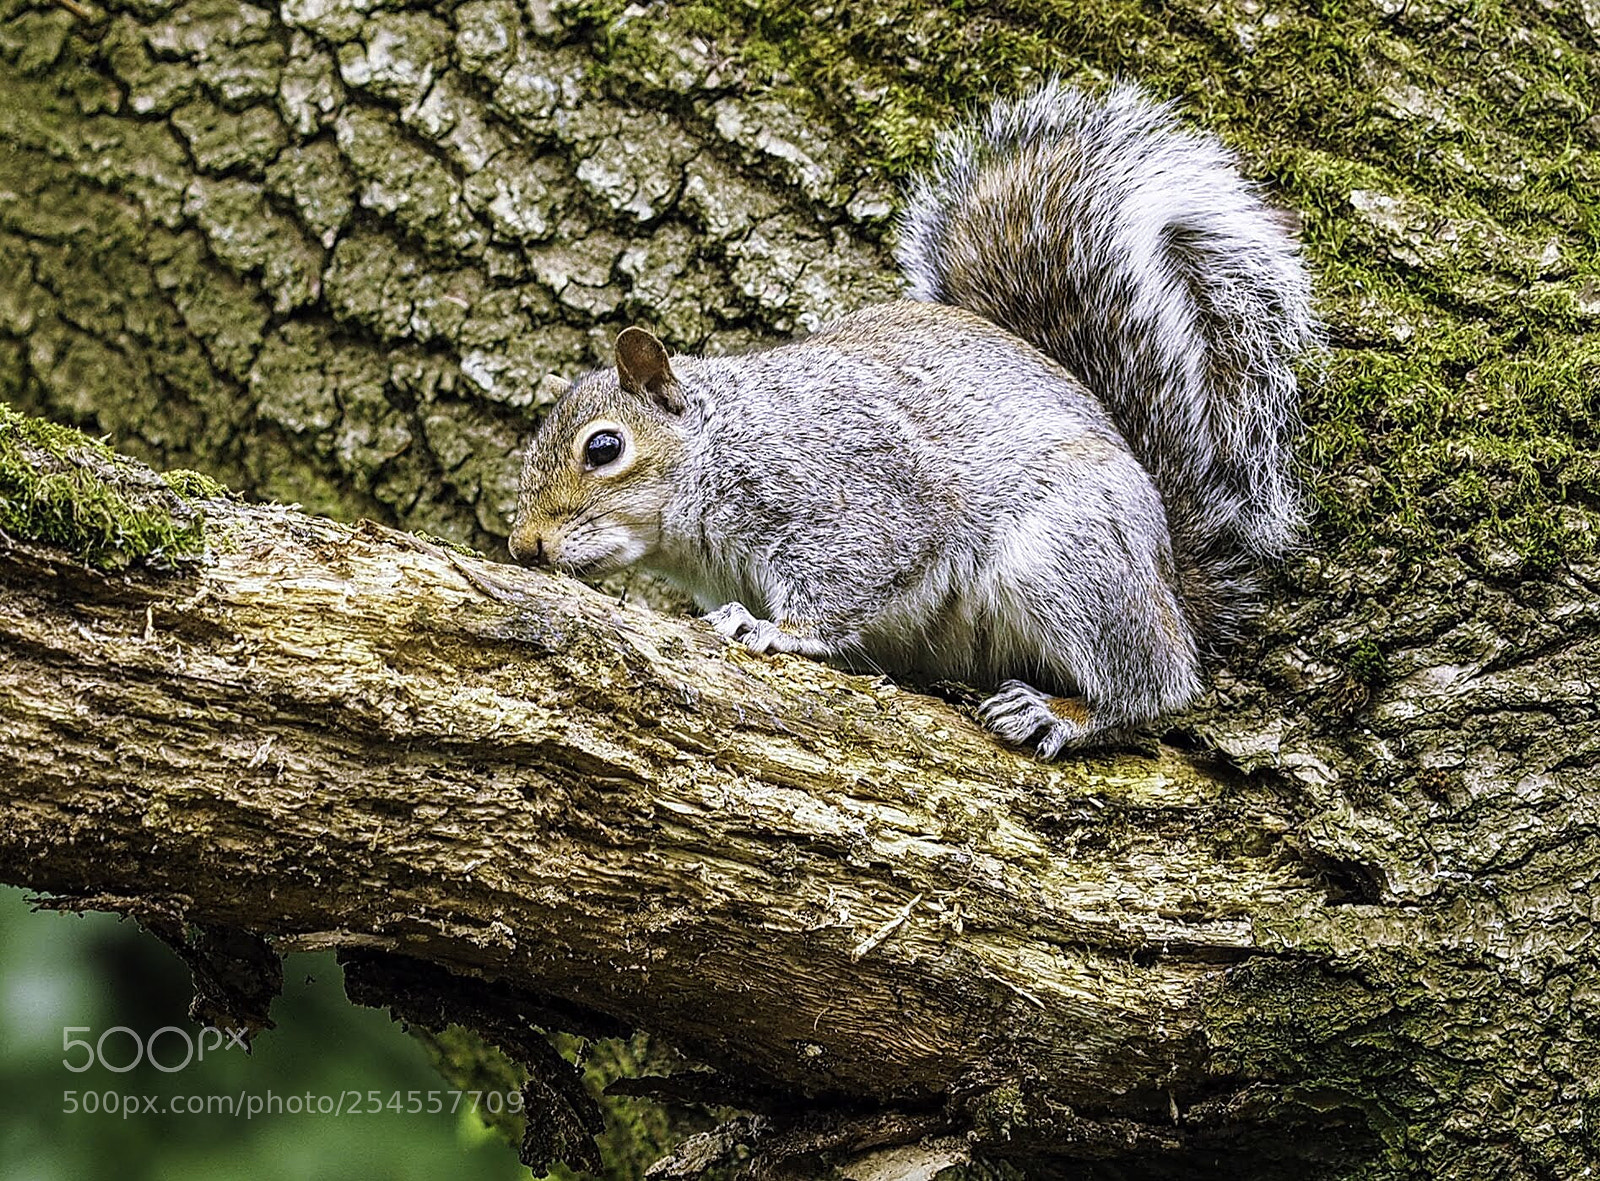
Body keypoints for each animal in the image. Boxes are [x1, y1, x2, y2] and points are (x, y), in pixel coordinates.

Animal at [508, 81, 1317, 756]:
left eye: (603, 448)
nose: (524, 545)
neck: (718, 445)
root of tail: (1172, 580)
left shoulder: (849, 490)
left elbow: (849, 577)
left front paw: (771, 628)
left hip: (1068, 562)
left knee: (1155, 684)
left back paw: (1062, 711)